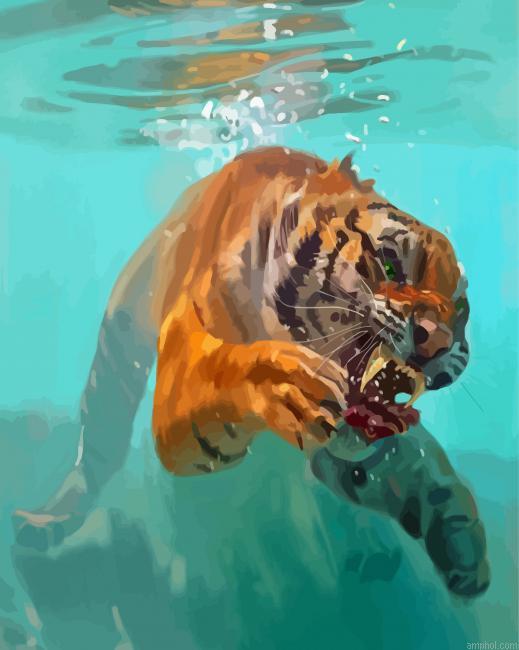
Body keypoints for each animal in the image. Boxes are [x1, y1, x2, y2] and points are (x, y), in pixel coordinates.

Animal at [13, 146, 469, 545]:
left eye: (461, 308)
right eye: (389, 265)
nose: (439, 343)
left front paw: (463, 541)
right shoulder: (184, 352)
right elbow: (222, 373)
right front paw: (284, 384)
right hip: (119, 337)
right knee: (99, 440)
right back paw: (41, 524)